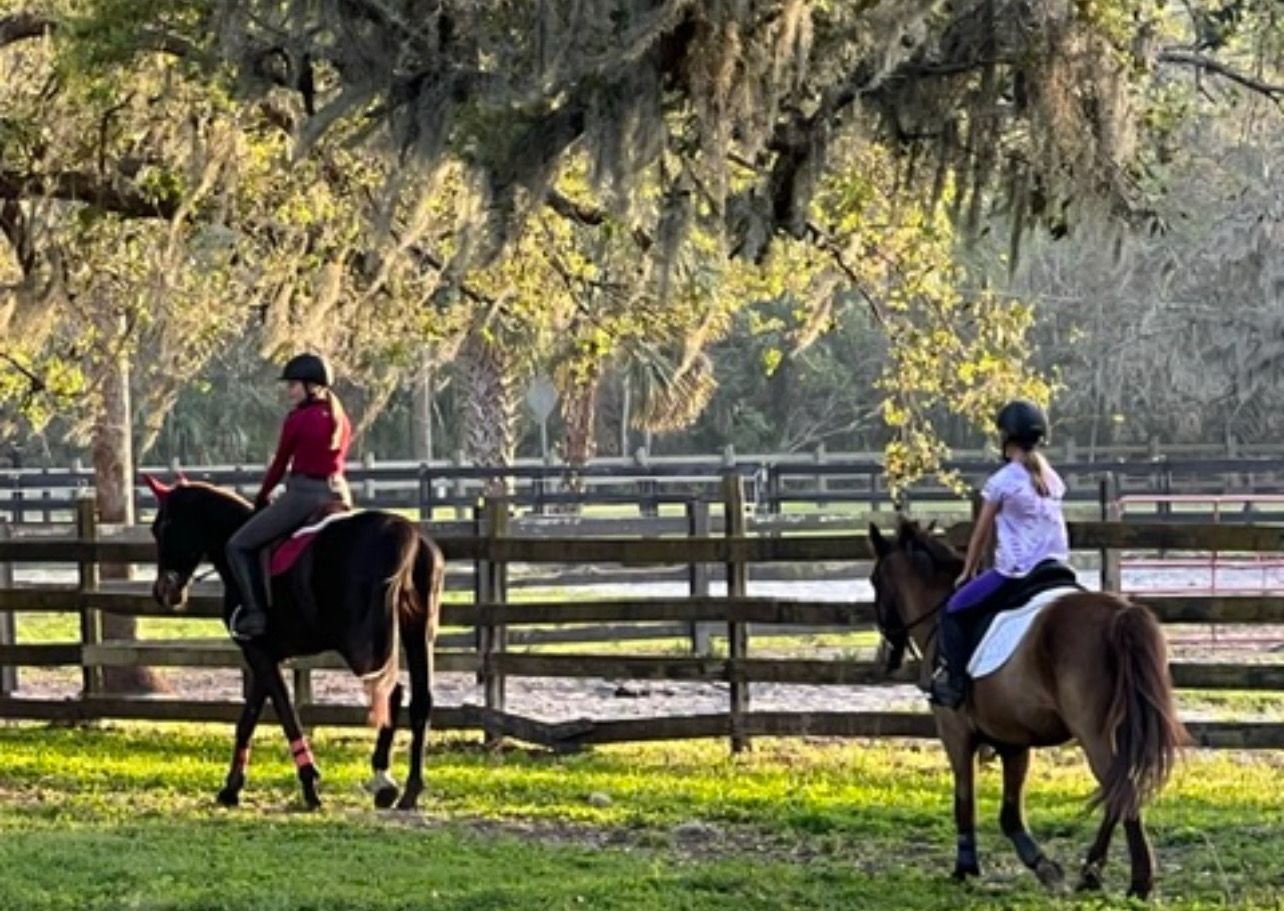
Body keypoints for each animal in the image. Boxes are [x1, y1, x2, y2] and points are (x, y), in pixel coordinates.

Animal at [144, 475, 443, 811]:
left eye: (162, 527)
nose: (163, 592)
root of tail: (408, 533)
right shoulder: (265, 655)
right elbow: (248, 719)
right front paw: (231, 788)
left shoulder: (258, 653)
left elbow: (286, 715)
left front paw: (309, 785)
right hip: (418, 634)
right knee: (420, 701)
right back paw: (410, 790)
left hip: (361, 646)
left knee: (390, 692)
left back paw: (383, 781)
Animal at [867, 518, 1187, 898]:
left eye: (874, 581)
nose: (887, 654)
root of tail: (1122, 613)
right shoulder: (1013, 741)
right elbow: (1010, 814)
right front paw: (1043, 866)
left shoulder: (955, 732)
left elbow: (964, 801)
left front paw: (965, 868)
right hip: (1121, 728)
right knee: (1119, 789)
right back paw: (1092, 873)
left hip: (1094, 733)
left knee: (1121, 788)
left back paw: (1136, 880)